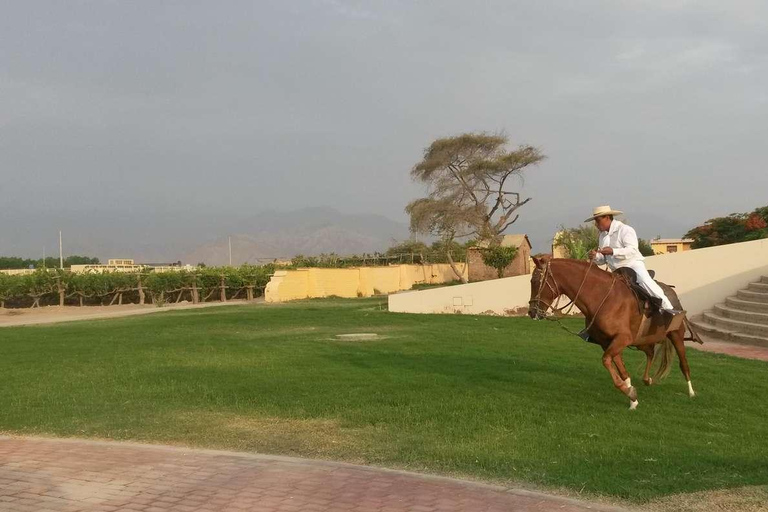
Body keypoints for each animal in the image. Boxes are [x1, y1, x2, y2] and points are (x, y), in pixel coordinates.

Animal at [528, 258, 704, 410]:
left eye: (535, 282)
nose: (532, 312)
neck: (604, 299)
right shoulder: (608, 342)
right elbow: (621, 370)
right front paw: (632, 397)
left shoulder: (622, 339)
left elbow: (606, 360)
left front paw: (628, 392)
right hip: (642, 341)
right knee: (650, 352)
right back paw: (647, 379)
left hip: (676, 335)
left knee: (683, 363)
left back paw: (691, 392)